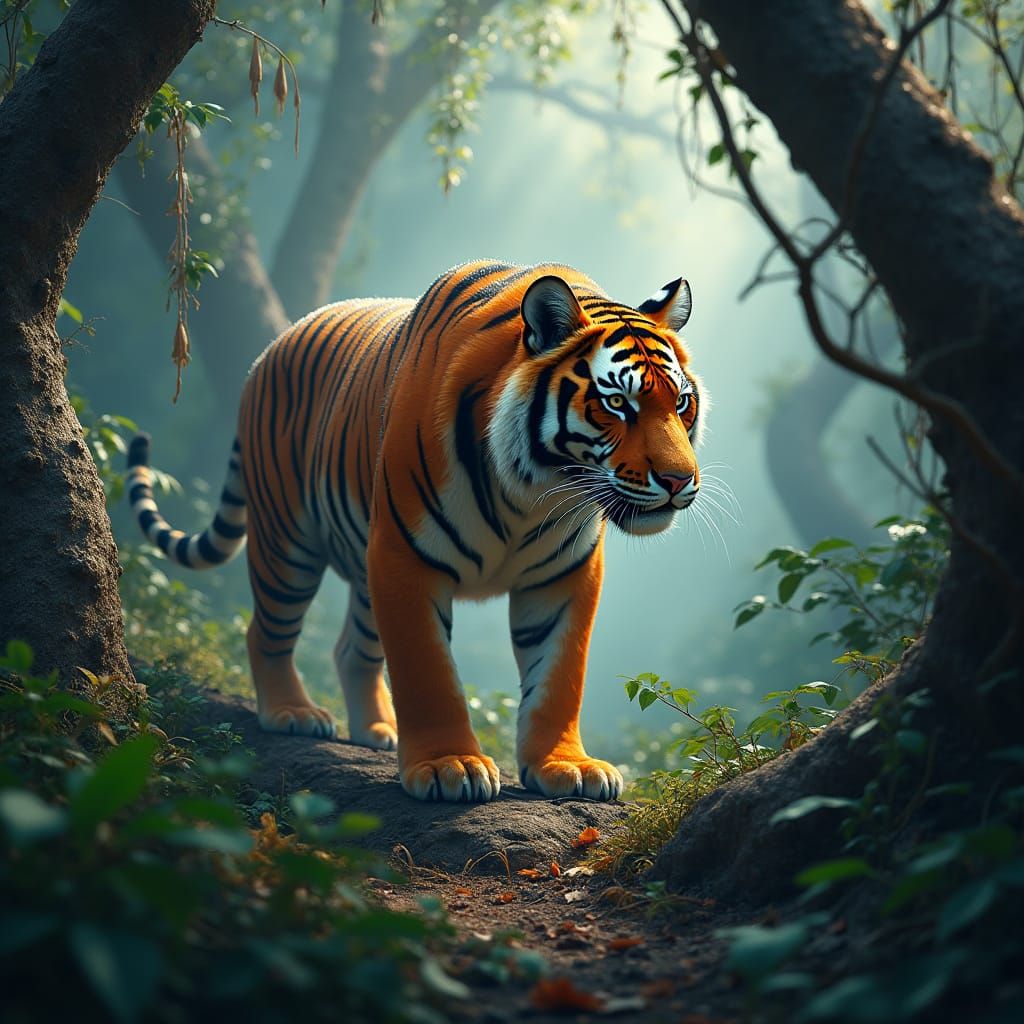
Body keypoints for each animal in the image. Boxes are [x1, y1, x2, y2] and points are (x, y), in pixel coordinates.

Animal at [127, 260, 706, 803]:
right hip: (286, 544)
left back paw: (377, 730)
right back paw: (293, 712)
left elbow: (560, 675)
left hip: (361, 567)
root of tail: (271, 348)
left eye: (681, 402)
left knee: (351, 649)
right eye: (617, 404)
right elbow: (427, 670)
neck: (533, 493)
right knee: (265, 632)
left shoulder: (565, 575)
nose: (679, 480)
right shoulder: (405, 555)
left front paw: (566, 766)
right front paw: (450, 766)